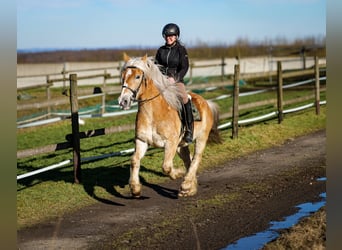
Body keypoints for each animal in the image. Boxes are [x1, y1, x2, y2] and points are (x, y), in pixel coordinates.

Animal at [118, 53, 222, 197]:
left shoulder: (170, 143)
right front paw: (135, 188)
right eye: (123, 76)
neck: (154, 114)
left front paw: (178, 174)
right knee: (188, 160)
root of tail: (206, 103)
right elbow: (134, 160)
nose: (123, 101)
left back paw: (186, 184)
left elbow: (166, 167)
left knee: (196, 158)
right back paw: (190, 188)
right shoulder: (142, 141)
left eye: (137, 76)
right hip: (181, 145)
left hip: (201, 138)